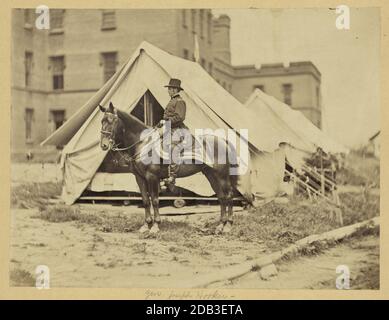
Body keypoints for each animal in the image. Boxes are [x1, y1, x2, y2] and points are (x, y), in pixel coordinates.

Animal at [98, 104, 236, 234]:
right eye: (102, 121)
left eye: (112, 120)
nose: (104, 145)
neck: (142, 143)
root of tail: (224, 141)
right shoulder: (139, 178)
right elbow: (145, 201)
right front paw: (145, 225)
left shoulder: (152, 177)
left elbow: (154, 200)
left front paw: (155, 226)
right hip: (211, 175)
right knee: (221, 197)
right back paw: (220, 225)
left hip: (222, 175)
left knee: (229, 196)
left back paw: (228, 225)